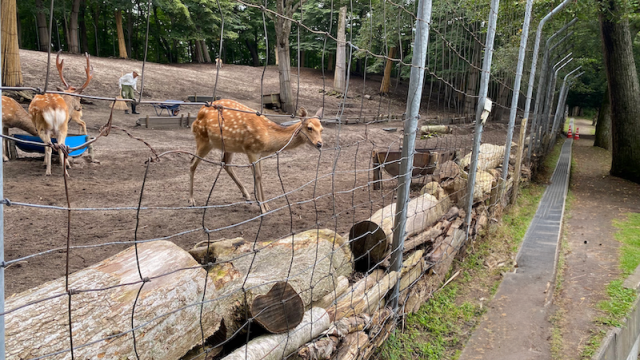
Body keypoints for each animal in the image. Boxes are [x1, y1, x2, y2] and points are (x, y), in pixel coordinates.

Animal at [188, 99, 322, 214]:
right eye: (309, 128)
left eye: (322, 129)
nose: (319, 143)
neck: (269, 138)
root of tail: (197, 117)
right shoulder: (251, 149)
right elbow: (257, 176)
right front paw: (262, 208)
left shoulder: (260, 154)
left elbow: (260, 175)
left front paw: (267, 205)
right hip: (203, 138)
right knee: (192, 162)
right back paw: (191, 200)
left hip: (228, 146)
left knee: (225, 163)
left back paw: (247, 195)